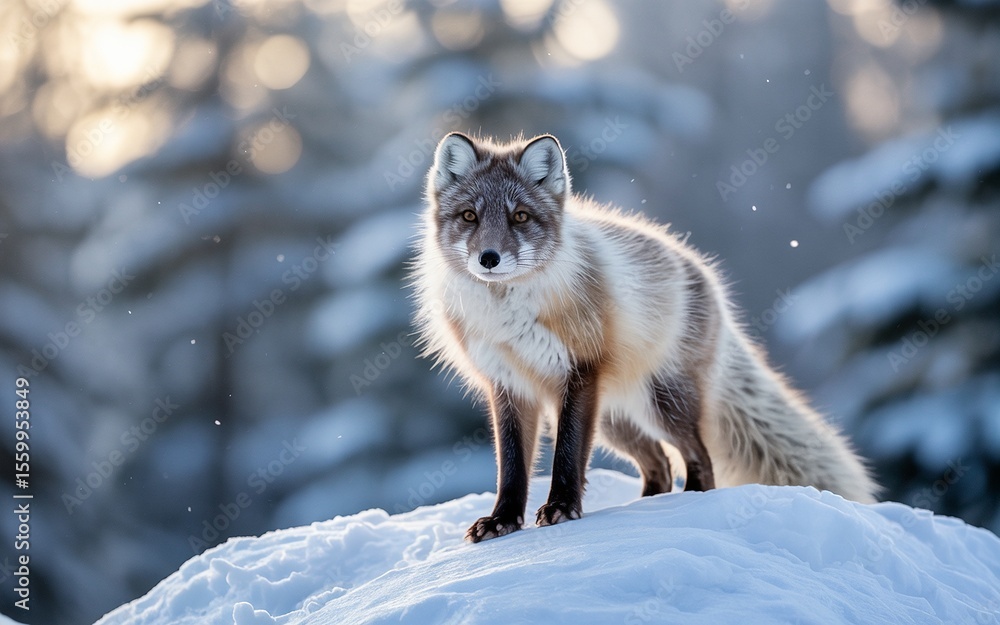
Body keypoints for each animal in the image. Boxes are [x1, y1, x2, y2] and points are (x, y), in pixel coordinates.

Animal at [411, 132, 878, 543]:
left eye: (520, 217)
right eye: (469, 216)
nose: (488, 259)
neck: (509, 315)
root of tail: (703, 273)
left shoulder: (579, 372)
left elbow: (566, 456)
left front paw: (562, 508)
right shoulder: (508, 386)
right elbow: (511, 468)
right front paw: (502, 521)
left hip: (662, 405)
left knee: (698, 459)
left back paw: (686, 503)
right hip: (616, 421)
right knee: (658, 467)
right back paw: (645, 509)